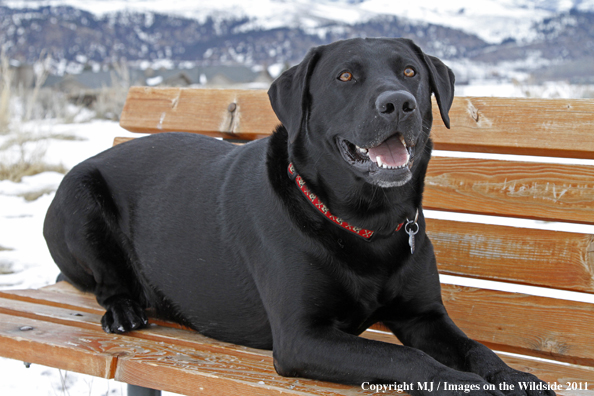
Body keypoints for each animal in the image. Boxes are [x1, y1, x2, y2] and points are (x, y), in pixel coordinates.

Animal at [44, 38, 552, 396]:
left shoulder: (423, 316)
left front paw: (514, 377)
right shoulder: (301, 337)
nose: (399, 103)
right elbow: (410, 361)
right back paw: (124, 310)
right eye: (345, 76)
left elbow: (475, 348)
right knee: (106, 282)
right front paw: (474, 389)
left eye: (410, 71)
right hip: (79, 198)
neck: (368, 223)